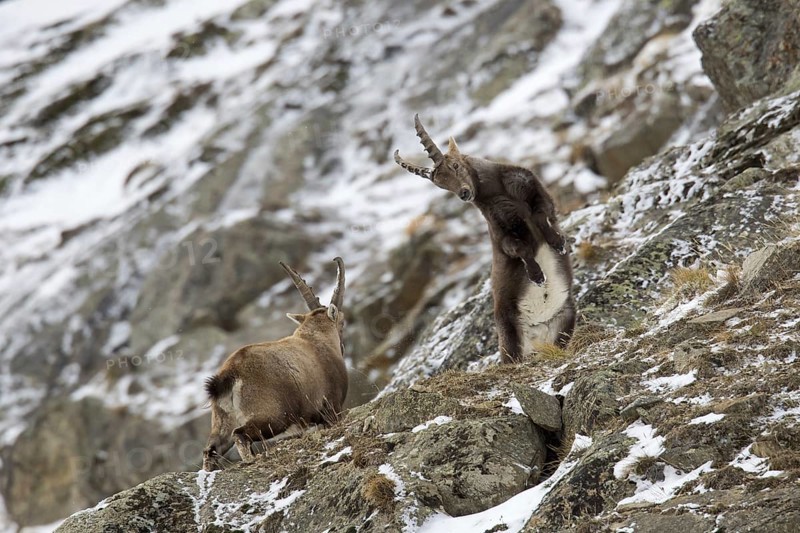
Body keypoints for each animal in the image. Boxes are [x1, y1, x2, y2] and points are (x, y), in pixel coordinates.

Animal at [202, 258, 348, 471]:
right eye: (342, 322)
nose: (343, 347)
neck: (317, 339)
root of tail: (229, 374)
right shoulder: (332, 408)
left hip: (221, 423)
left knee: (210, 450)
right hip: (273, 416)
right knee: (240, 434)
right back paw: (252, 460)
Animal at [395, 115, 575, 363]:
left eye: (455, 165)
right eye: (441, 184)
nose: (464, 193)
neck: (499, 192)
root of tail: (541, 337)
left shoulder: (536, 192)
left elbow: (541, 215)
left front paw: (558, 244)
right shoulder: (501, 233)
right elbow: (519, 249)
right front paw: (537, 276)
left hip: (567, 318)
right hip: (510, 338)